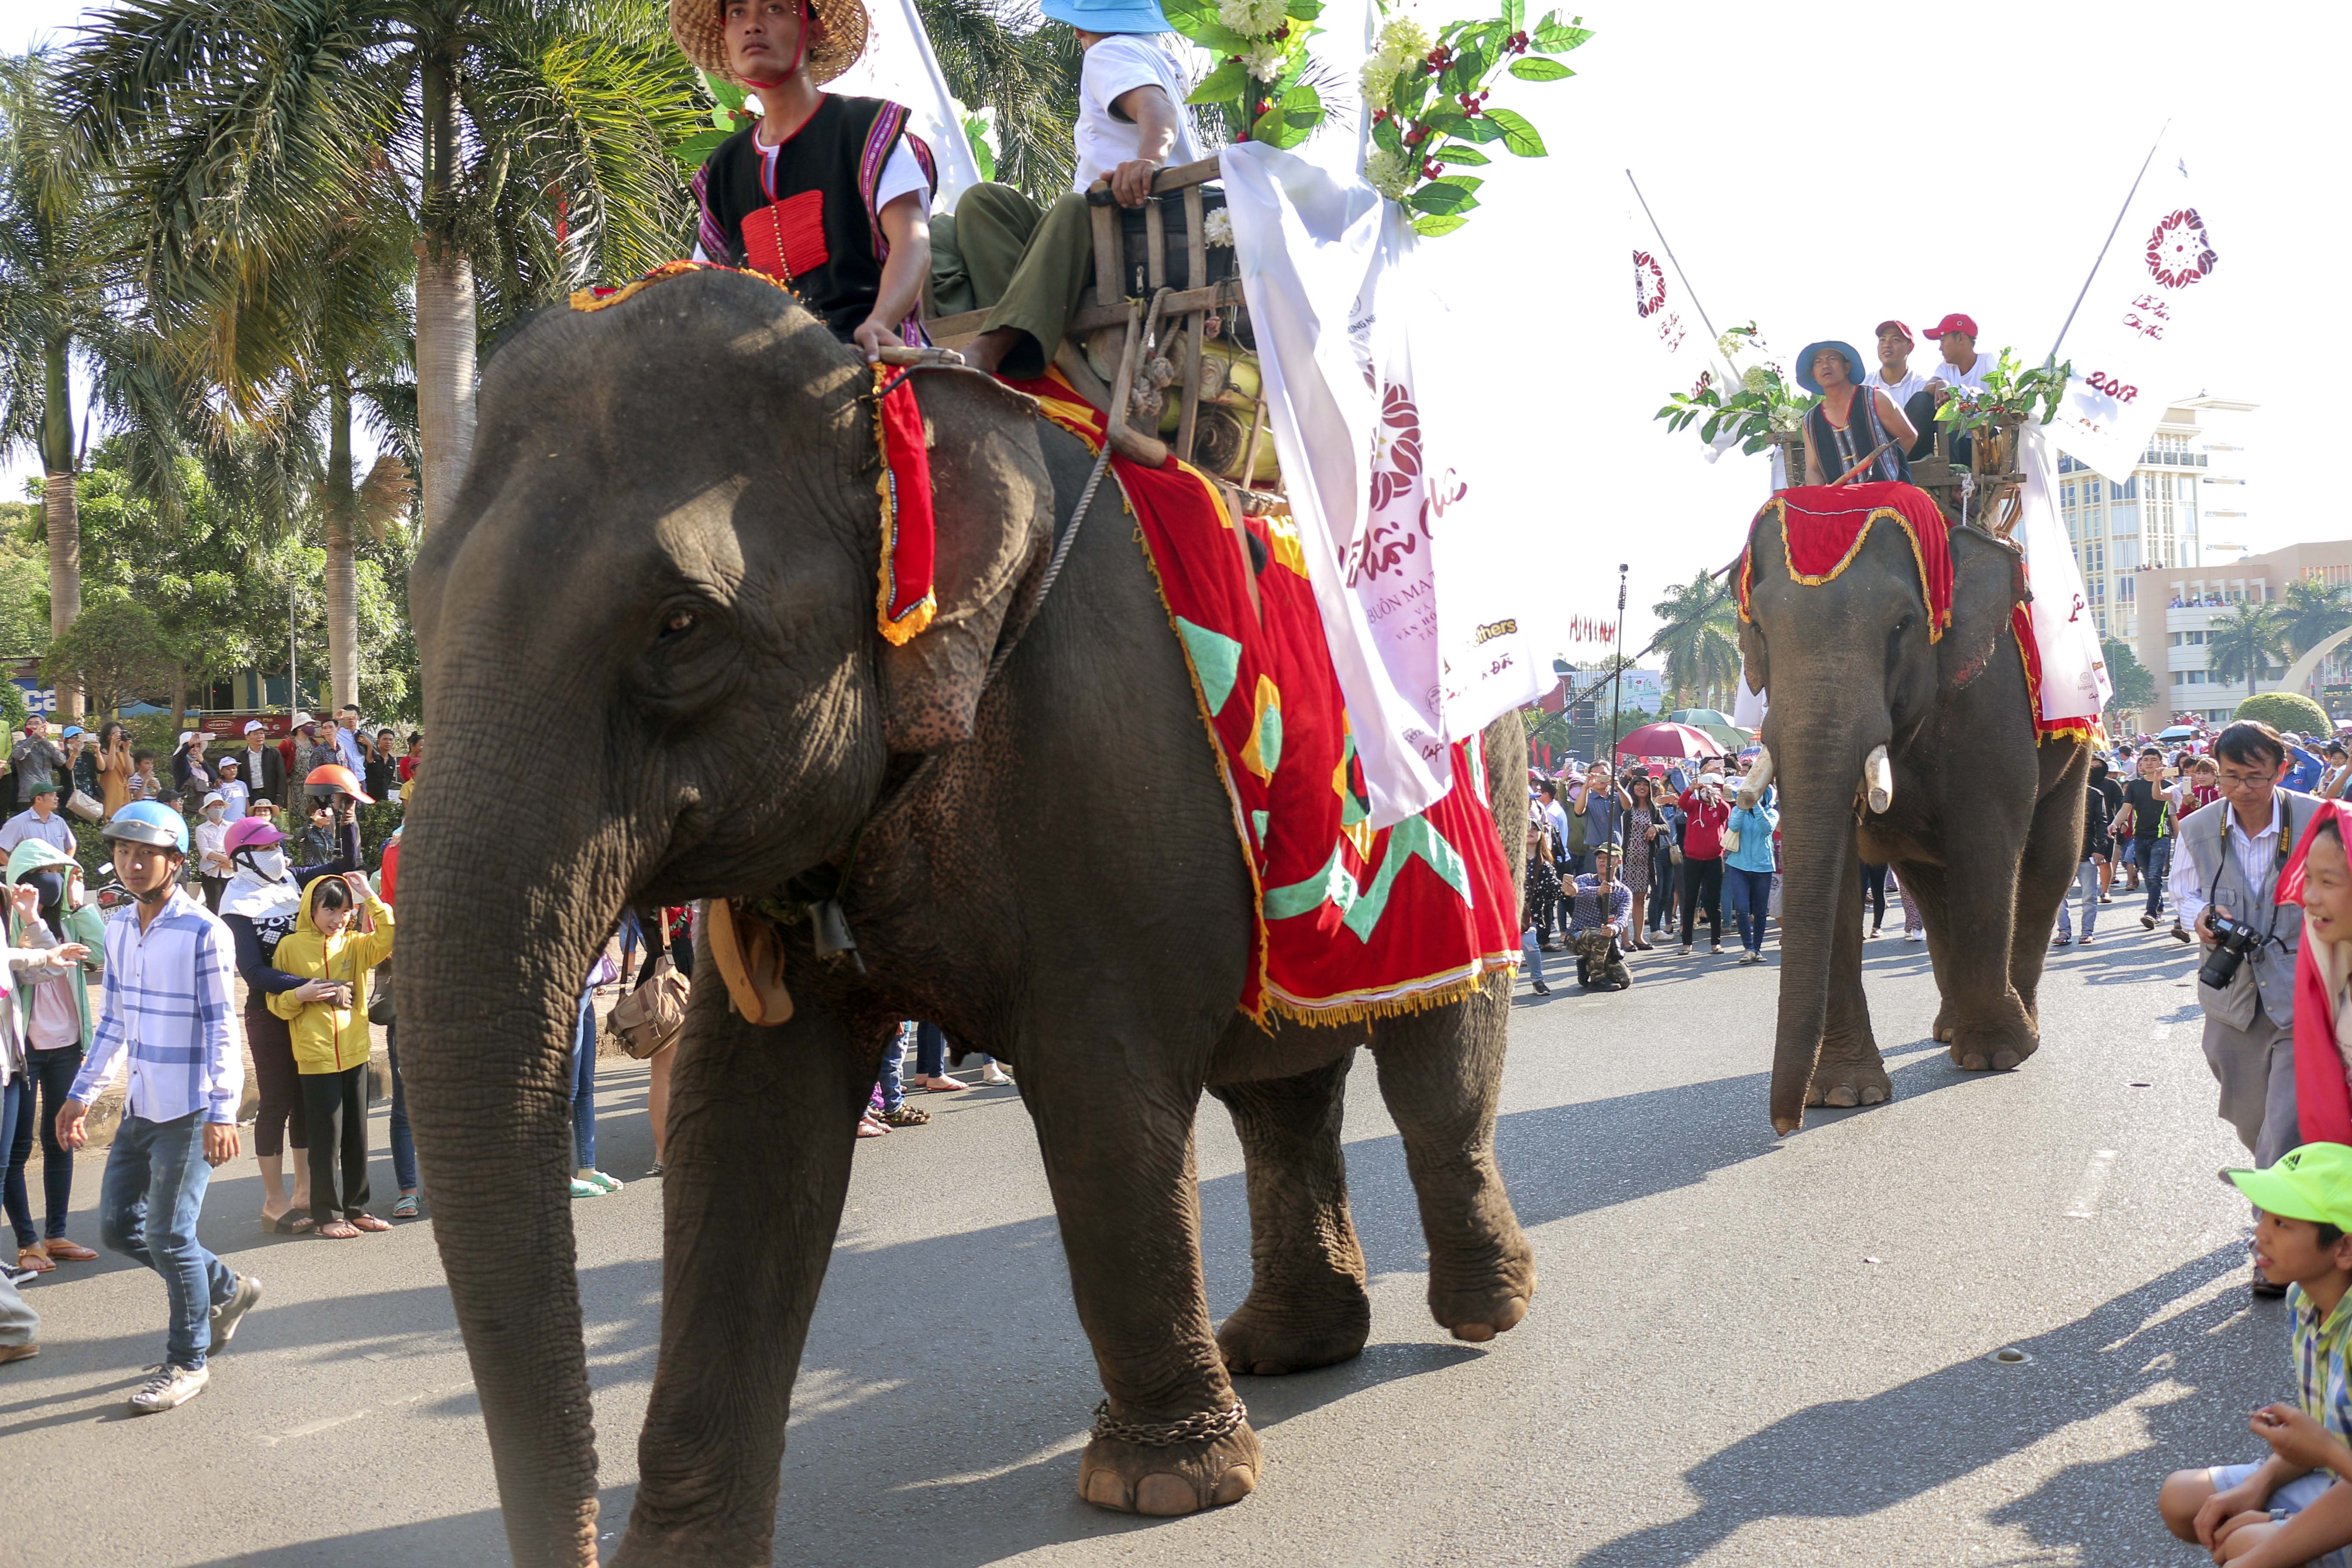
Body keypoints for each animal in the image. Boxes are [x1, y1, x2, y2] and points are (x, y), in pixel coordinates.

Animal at [400, 270, 1543, 1568]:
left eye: (679, 626)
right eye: (418, 610)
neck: (886, 394)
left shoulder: (1106, 746)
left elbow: (1102, 1102)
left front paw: (1165, 1486)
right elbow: (740, 1133)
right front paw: (684, 1556)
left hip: (1476, 817)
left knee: (1438, 1059)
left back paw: (1484, 1308)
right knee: (1280, 1085)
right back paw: (1289, 1345)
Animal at [1731, 510, 2098, 1133]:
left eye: (1903, 623)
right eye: (1757, 625)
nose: (1785, 1125)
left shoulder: (1990, 699)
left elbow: (1987, 845)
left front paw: (1994, 1056)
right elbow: (1841, 871)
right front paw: (1842, 1094)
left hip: (2076, 745)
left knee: (2050, 863)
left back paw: (2019, 1029)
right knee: (1929, 886)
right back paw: (1950, 1028)